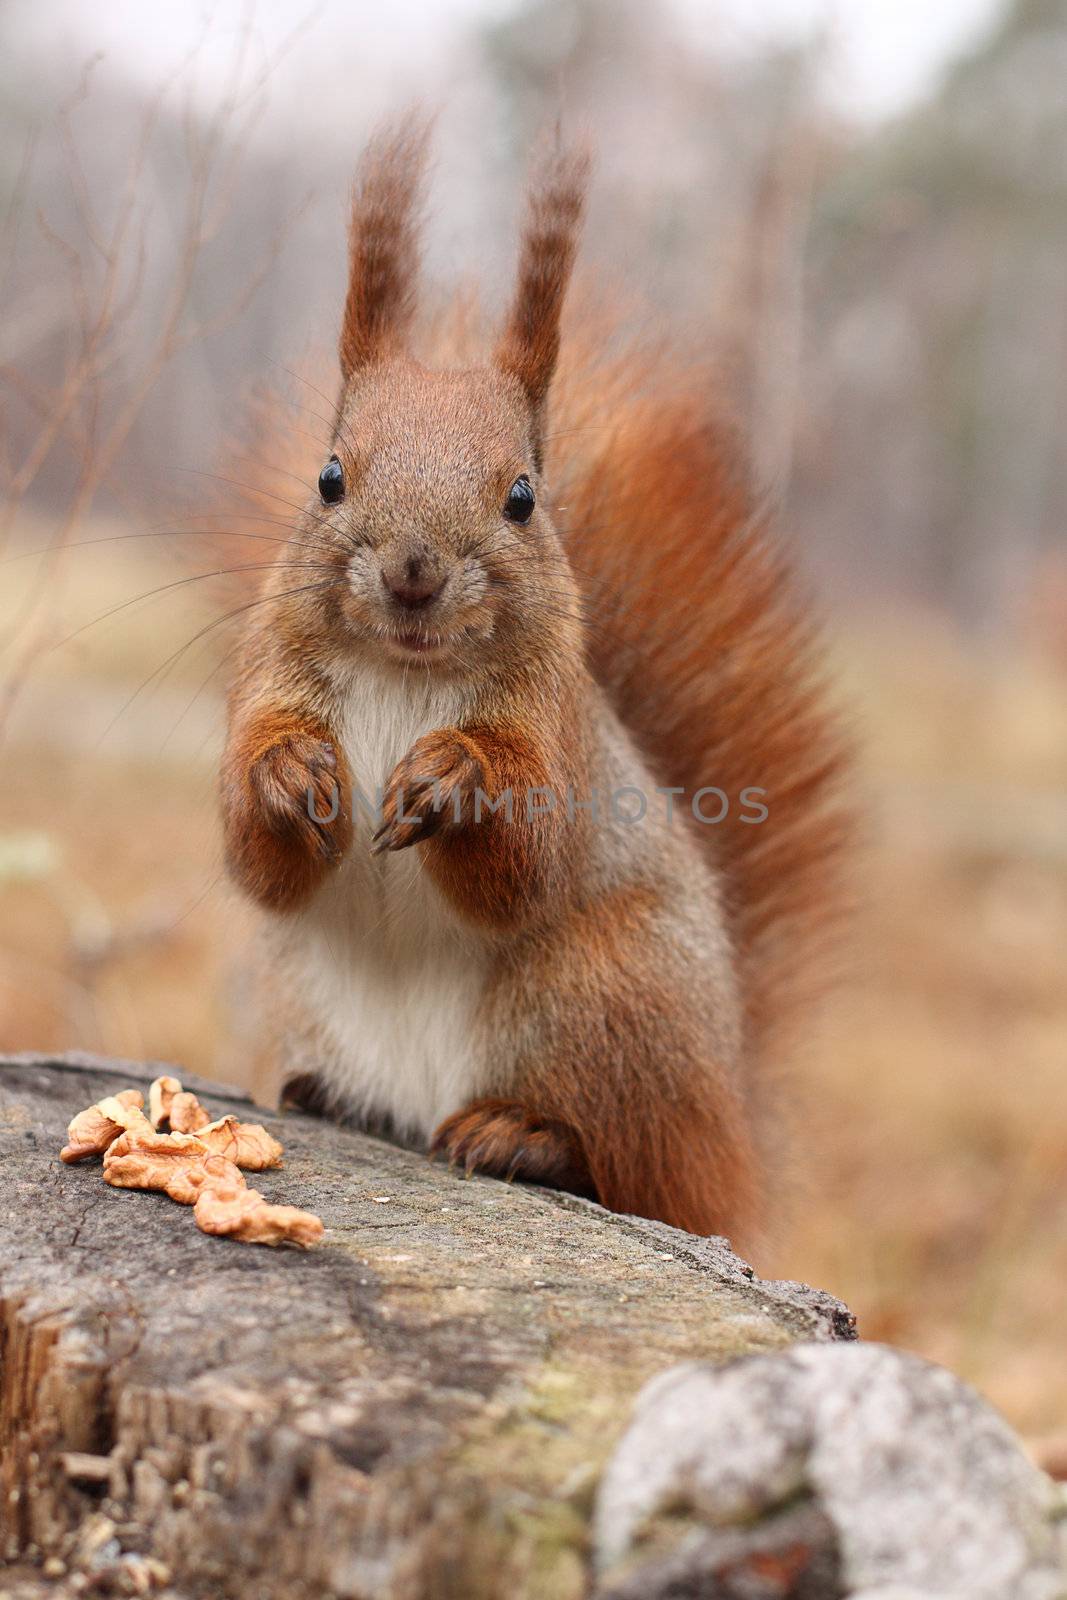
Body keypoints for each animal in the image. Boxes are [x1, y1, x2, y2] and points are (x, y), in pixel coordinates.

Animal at [219, 121, 851, 1248]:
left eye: (520, 494)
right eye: (328, 476)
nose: (413, 569)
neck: (405, 671)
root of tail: (730, 1129)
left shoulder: (552, 728)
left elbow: (526, 859)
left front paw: (451, 779)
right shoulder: (265, 679)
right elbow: (259, 859)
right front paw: (289, 773)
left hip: (602, 999)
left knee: (630, 1169)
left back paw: (524, 1137)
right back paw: (332, 1096)